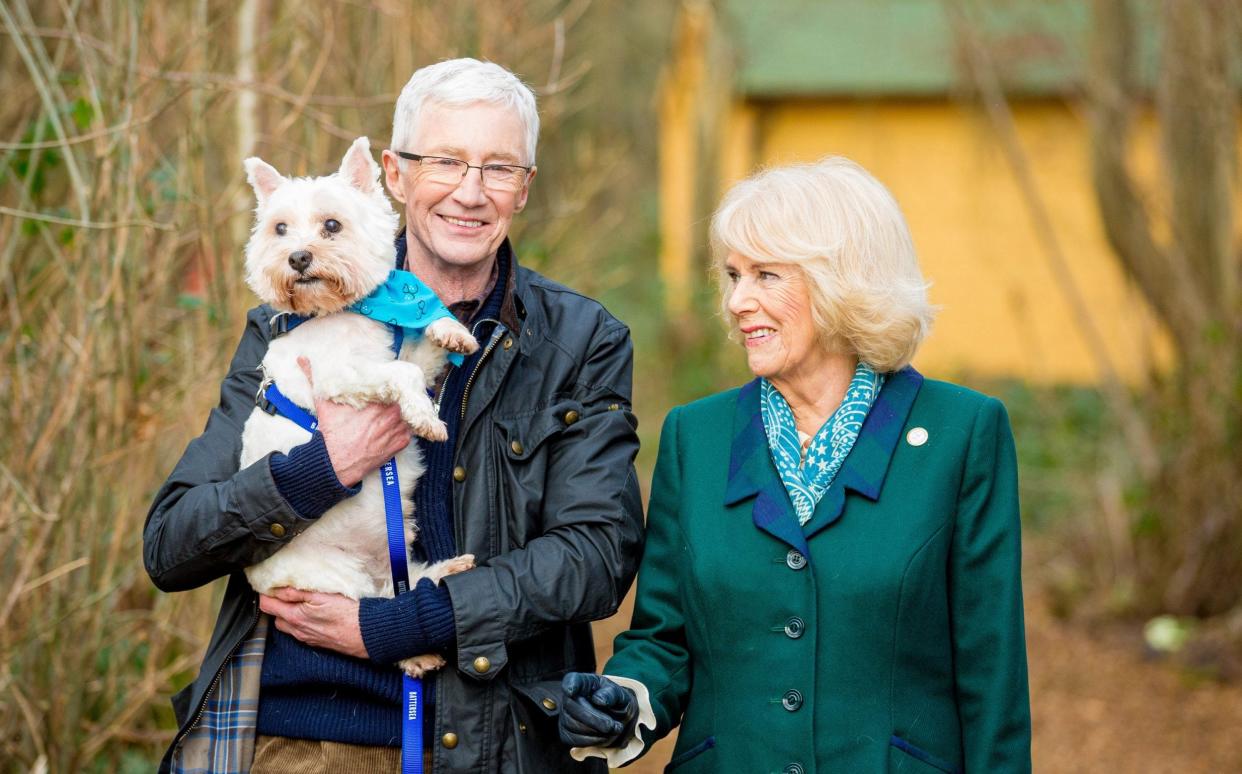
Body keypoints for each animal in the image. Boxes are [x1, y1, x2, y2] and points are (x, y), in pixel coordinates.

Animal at [239, 136, 476, 675]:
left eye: (332, 225)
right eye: (279, 228)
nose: (297, 257)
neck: (339, 310)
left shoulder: (394, 350)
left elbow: (423, 351)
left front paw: (452, 329)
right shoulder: (340, 377)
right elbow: (404, 375)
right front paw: (426, 418)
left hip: (397, 554)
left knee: (408, 586)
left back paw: (450, 568)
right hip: (332, 578)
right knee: (376, 610)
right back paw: (419, 654)